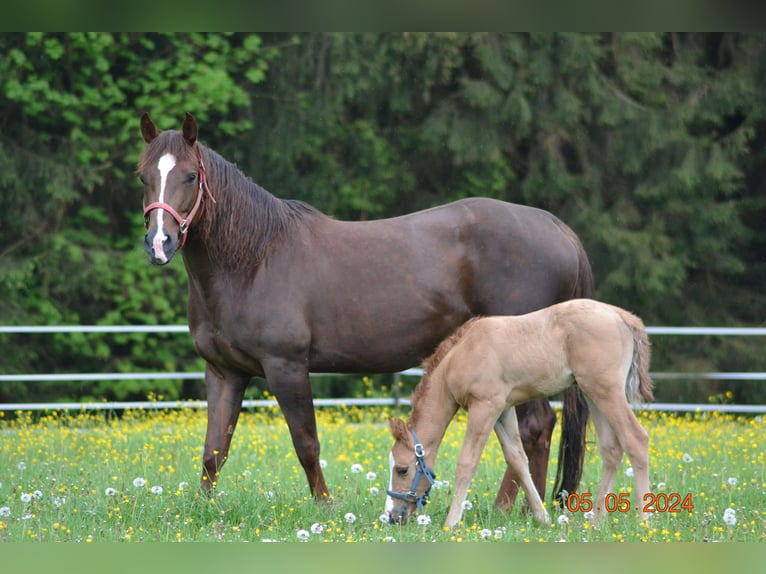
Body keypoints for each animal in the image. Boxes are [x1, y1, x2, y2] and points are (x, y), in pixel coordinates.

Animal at [136, 115, 592, 510]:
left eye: (190, 176)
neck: (255, 259)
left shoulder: (286, 366)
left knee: (535, 428)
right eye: (143, 176)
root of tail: (556, 227)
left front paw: (325, 507)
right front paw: (203, 509)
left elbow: (306, 443)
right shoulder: (225, 372)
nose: (160, 243)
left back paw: (512, 510)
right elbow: (214, 449)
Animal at [384, 302, 656, 532]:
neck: (461, 355)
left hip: (606, 391)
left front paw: (451, 524)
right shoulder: (503, 410)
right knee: (611, 448)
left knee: (636, 438)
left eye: (402, 470)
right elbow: (517, 459)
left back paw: (645, 521)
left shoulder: (485, 406)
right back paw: (596, 521)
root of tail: (621, 316)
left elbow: (466, 463)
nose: (392, 516)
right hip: (592, 393)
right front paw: (543, 518)